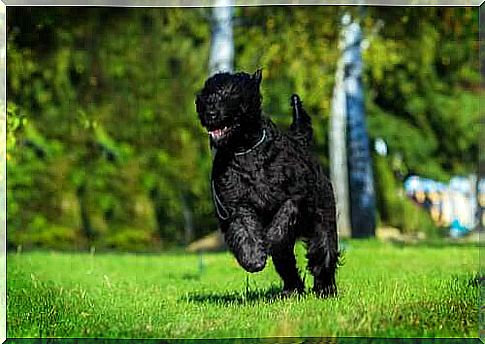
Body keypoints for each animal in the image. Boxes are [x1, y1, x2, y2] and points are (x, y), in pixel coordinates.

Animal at [195, 70, 338, 296]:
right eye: (205, 93)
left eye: (231, 92)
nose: (209, 112)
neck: (245, 149)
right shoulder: (236, 206)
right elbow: (244, 231)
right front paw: (253, 257)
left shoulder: (294, 198)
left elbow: (282, 217)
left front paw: (268, 238)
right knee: (287, 264)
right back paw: (292, 290)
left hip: (322, 220)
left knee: (323, 253)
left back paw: (325, 289)